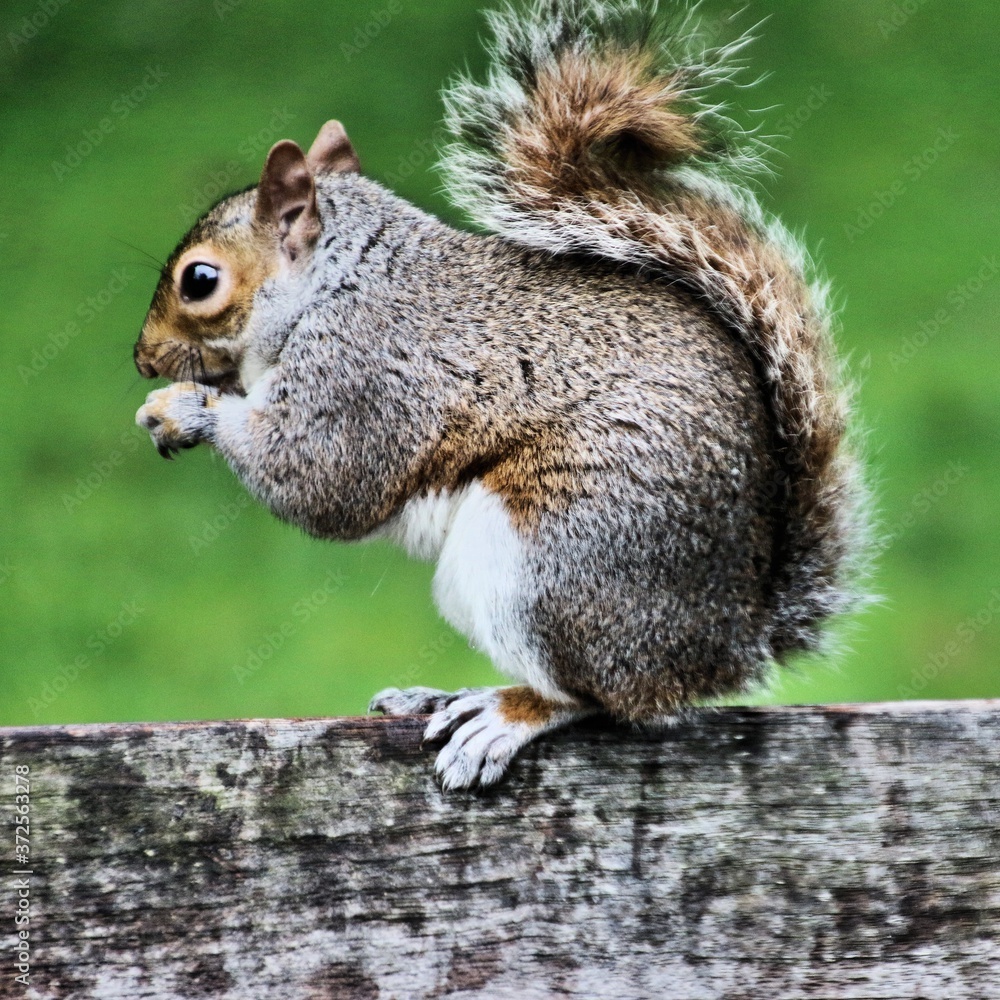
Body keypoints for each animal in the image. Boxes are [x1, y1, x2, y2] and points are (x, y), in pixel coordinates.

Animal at [134, 0, 868, 790]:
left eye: (199, 280)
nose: (142, 360)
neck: (336, 283)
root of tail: (729, 641)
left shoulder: (364, 373)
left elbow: (322, 480)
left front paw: (186, 410)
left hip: (552, 558)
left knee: (599, 696)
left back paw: (504, 715)